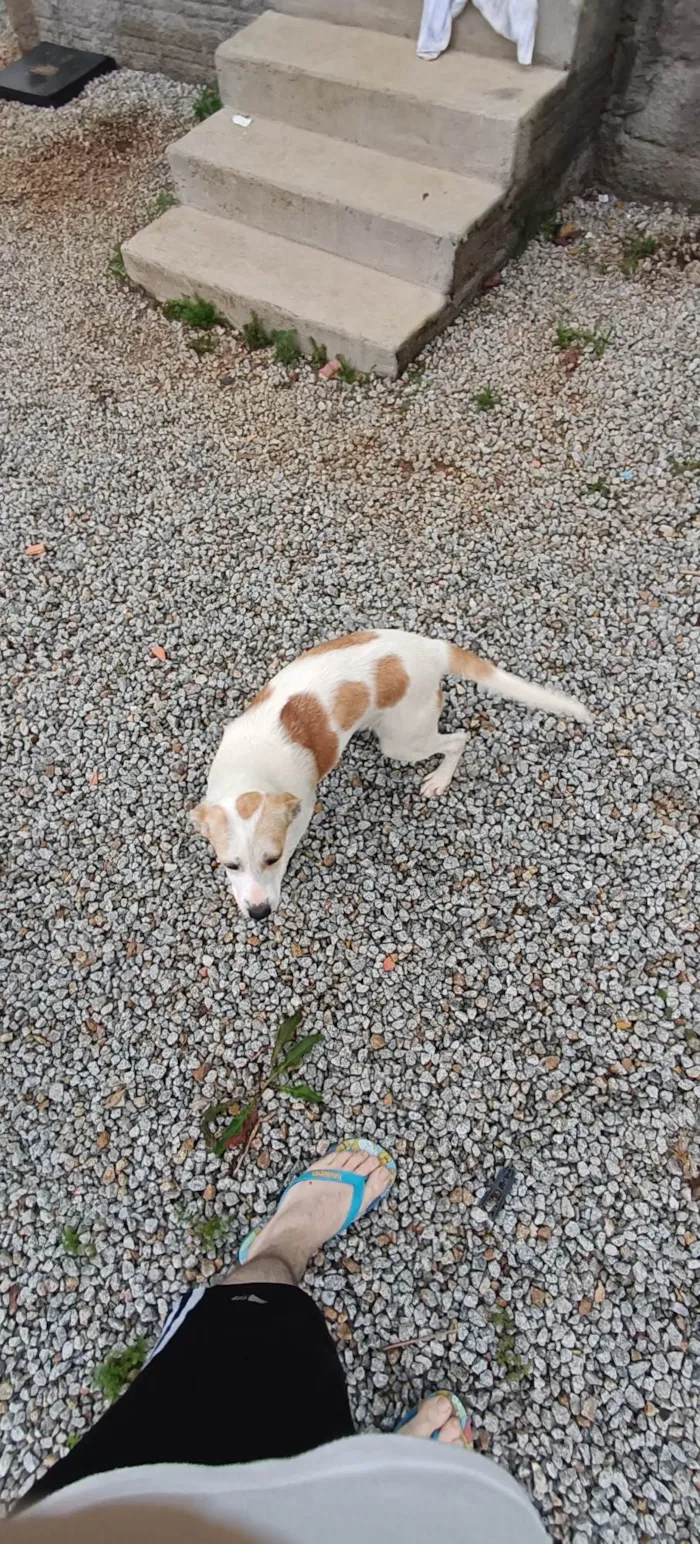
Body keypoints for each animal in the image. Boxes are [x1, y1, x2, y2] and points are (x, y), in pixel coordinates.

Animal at [189, 626, 590, 914]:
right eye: (230, 865)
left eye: (271, 858)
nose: (258, 913)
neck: (250, 770)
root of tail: (432, 649)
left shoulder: (301, 812)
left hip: (403, 741)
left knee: (459, 740)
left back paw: (439, 780)